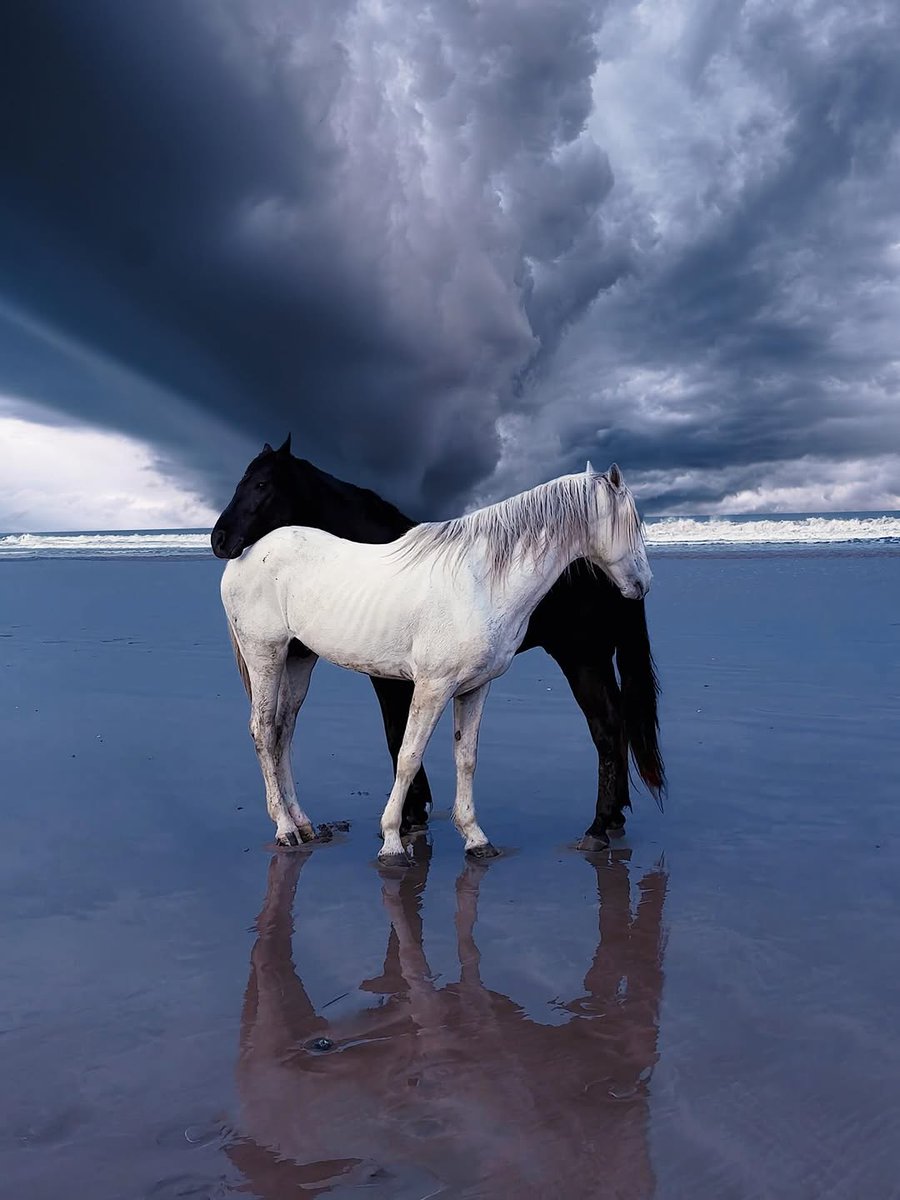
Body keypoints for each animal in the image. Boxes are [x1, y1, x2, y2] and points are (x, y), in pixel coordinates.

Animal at [212, 436, 665, 850]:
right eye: (631, 523)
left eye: (262, 484)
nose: (643, 584)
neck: (481, 579)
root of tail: (248, 555)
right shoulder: (430, 685)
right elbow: (408, 754)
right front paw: (394, 839)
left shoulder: (474, 687)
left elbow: (466, 757)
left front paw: (475, 837)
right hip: (266, 655)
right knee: (263, 730)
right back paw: (285, 828)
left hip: (299, 658)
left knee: (283, 731)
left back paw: (302, 823)